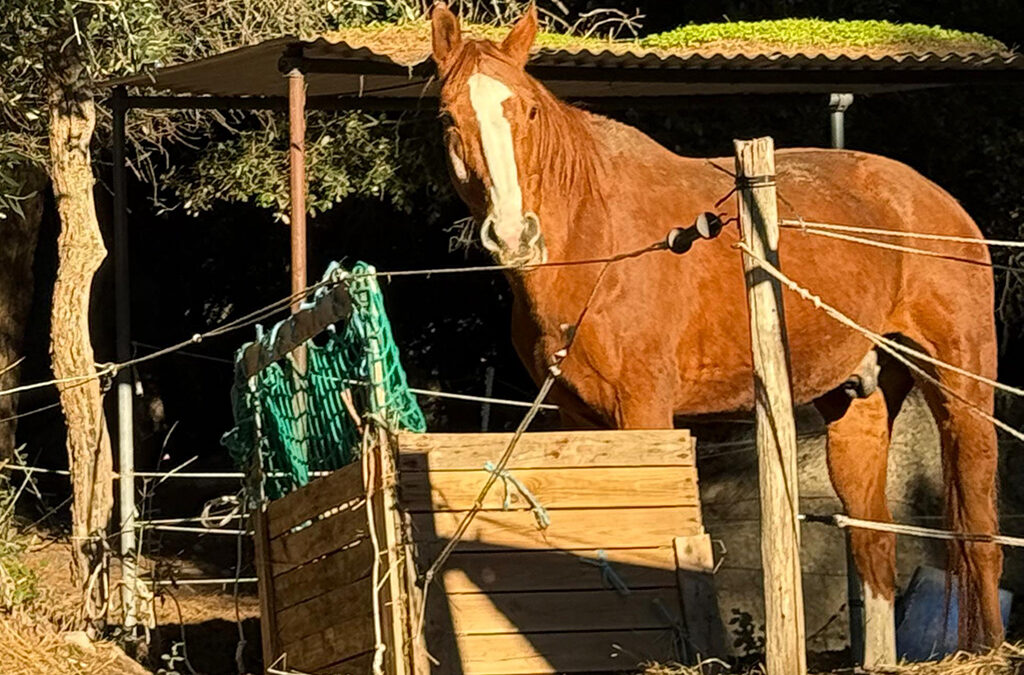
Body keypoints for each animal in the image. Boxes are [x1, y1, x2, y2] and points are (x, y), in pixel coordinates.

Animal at [429, 2, 1003, 659]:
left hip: (961, 389)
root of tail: (933, 199)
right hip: (858, 406)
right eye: (449, 117)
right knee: (874, 542)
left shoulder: (645, 410)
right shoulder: (575, 416)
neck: (597, 244)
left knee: (980, 530)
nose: (513, 235)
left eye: (525, 110)